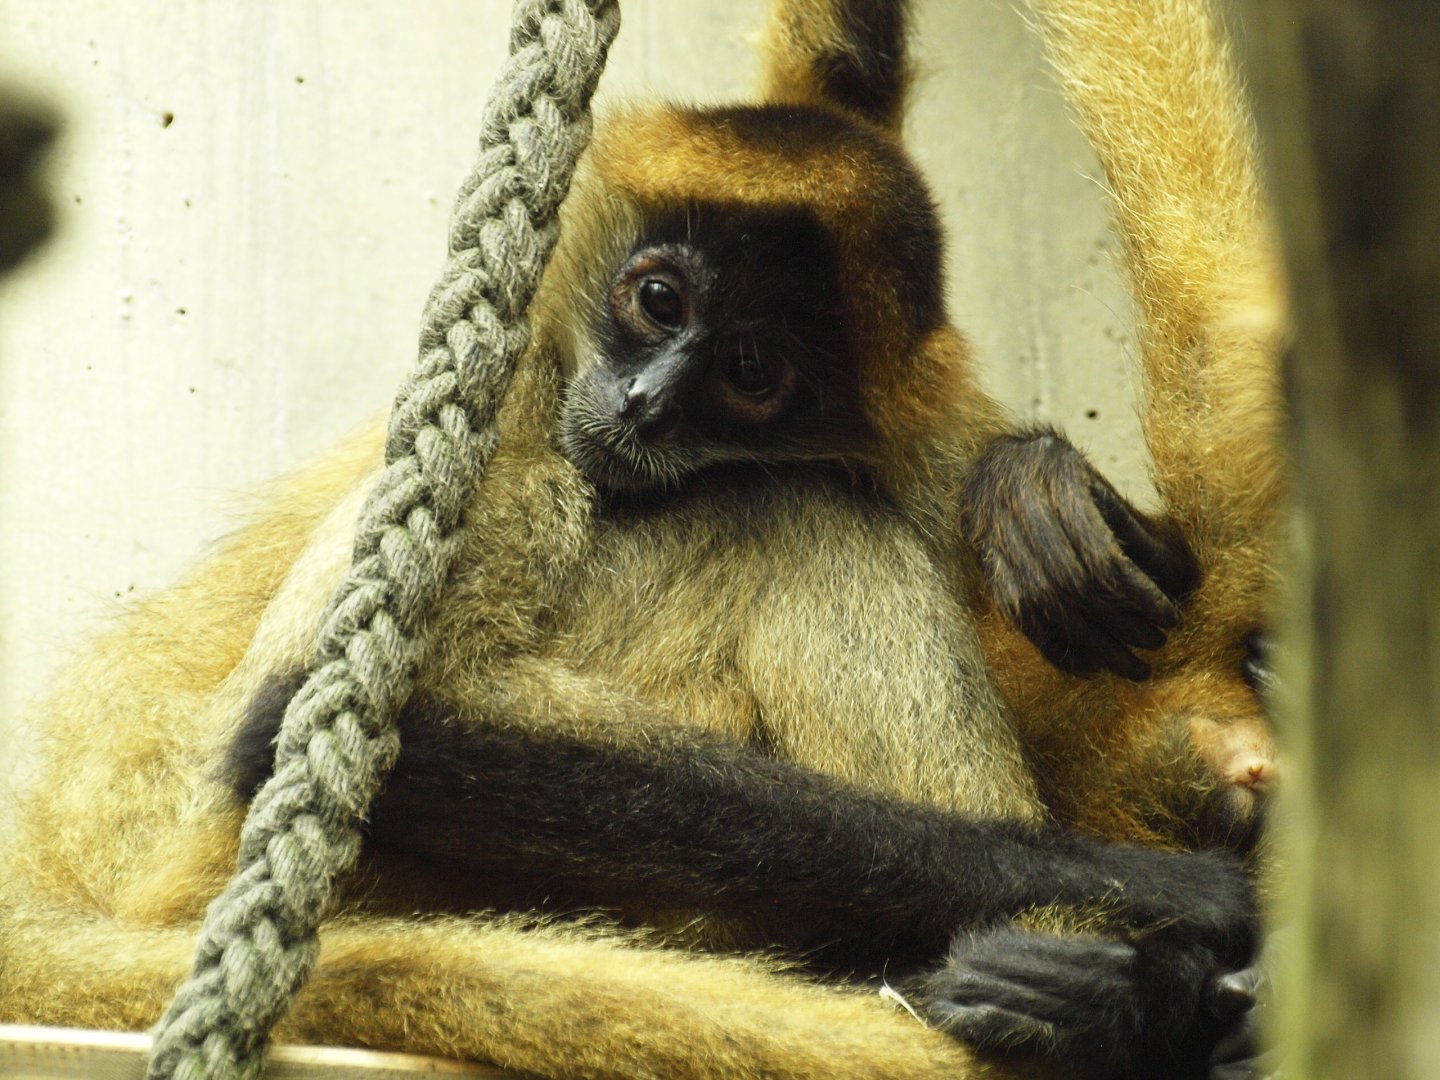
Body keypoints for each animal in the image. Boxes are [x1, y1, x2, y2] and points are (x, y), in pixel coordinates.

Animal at [0, 0, 1279, 1078]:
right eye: (658, 302)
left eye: (752, 373)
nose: (648, 403)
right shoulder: (518, 391)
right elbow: (284, 727)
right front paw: (1153, 903)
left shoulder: (913, 416)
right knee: (796, 519)